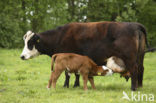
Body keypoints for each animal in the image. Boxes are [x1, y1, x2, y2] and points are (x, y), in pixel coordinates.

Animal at [20, 21, 153, 90]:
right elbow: (76, 74)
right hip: (140, 57)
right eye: (25, 41)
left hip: (130, 58)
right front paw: (76, 85)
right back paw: (140, 86)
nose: (22, 56)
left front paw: (67, 85)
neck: (59, 36)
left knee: (135, 69)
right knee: (141, 69)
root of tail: (135, 24)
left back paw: (133, 88)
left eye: (30, 43)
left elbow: (68, 74)